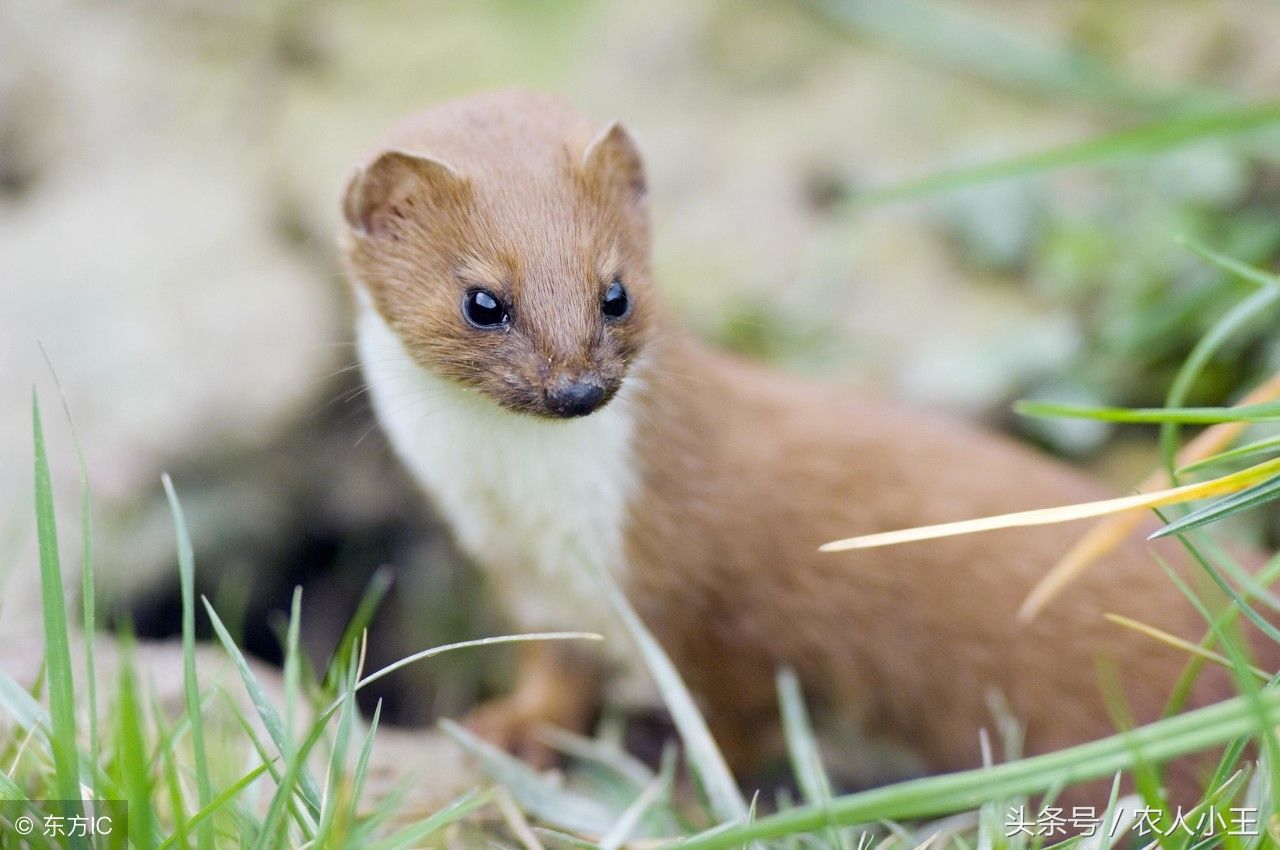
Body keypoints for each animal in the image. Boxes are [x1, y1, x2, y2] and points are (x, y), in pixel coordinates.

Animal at [340, 91, 1269, 788]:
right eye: (482, 301)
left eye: (616, 291)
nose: (576, 388)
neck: (547, 526)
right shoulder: (532, 588)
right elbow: (555, 669)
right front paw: (514, 728)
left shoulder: (721, 607)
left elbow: (733, 715)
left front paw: (685, 778)